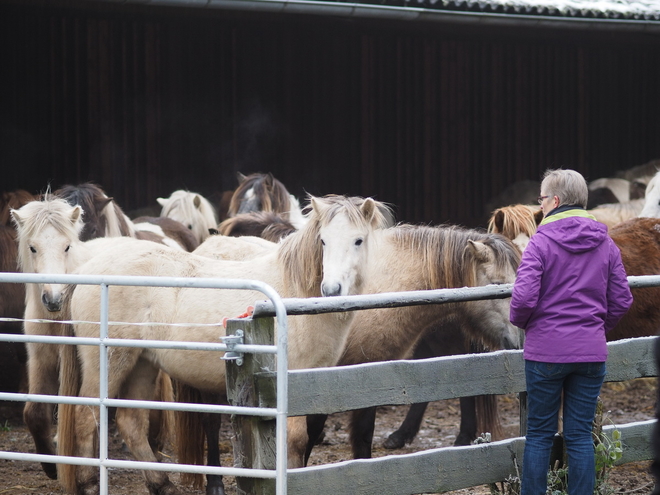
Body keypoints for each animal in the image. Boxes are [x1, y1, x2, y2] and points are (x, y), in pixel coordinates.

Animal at [56, 195, 390, 495]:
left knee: (131, 423)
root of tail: (88, 270)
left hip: (142, 363)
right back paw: (88, 484)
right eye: (323, 241)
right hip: (110, 361)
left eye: (358, 240)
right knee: (87, 414)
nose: (331, 289)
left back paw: (162, 484)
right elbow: (294, 442)